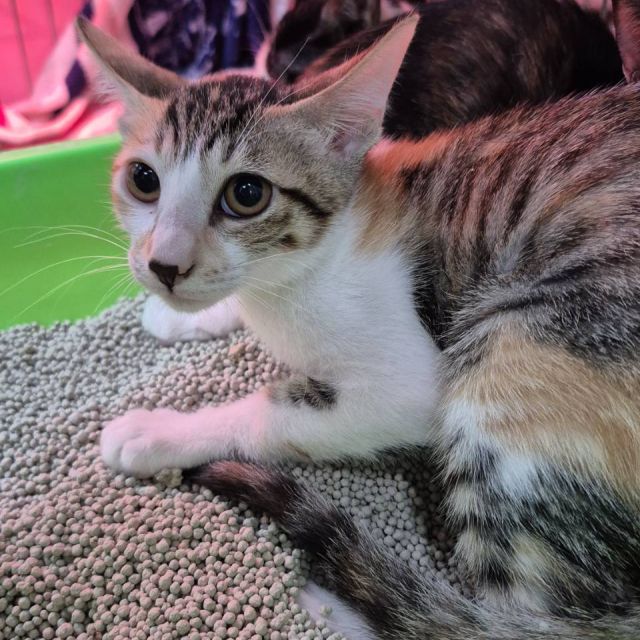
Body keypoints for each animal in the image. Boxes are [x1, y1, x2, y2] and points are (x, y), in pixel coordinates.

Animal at [78, 0, 640, 636]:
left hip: (514, 348)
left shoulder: (408, 386)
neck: (298, 275)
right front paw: (178, 317)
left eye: (247, 194)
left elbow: (274, 413)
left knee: (503, 620)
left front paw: (156, 432)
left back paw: (332, 604)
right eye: (143, 180)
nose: (164, 265)